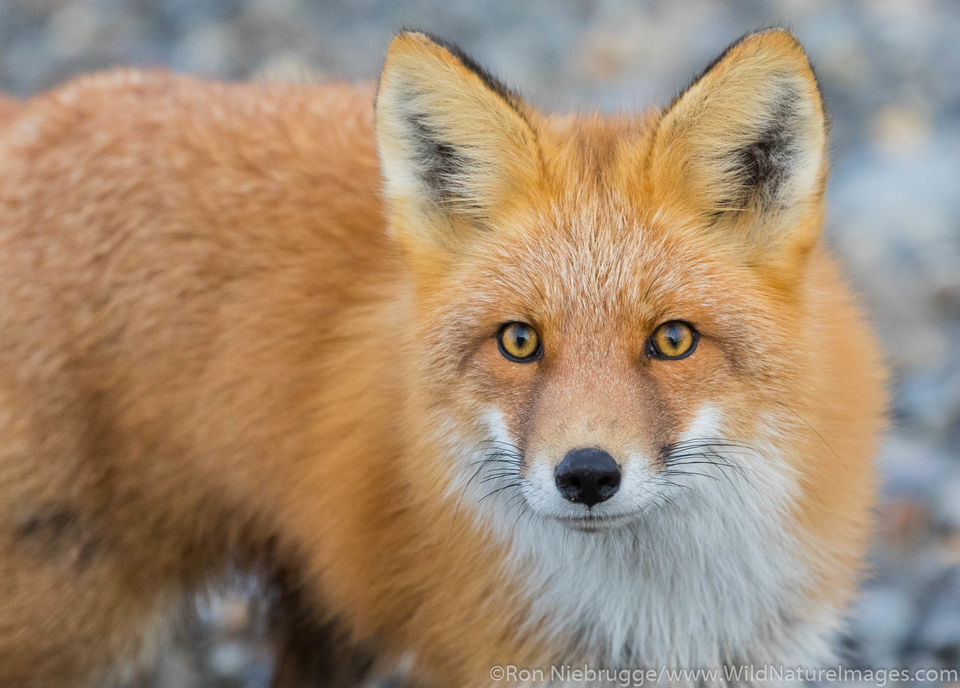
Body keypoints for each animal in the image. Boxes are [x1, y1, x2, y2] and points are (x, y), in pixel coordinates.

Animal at [0, 27, 886, 687]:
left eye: (672, 340)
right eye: (519, 341)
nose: (586, 475)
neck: (657, 618)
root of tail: (40, 111)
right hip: (74, 621)